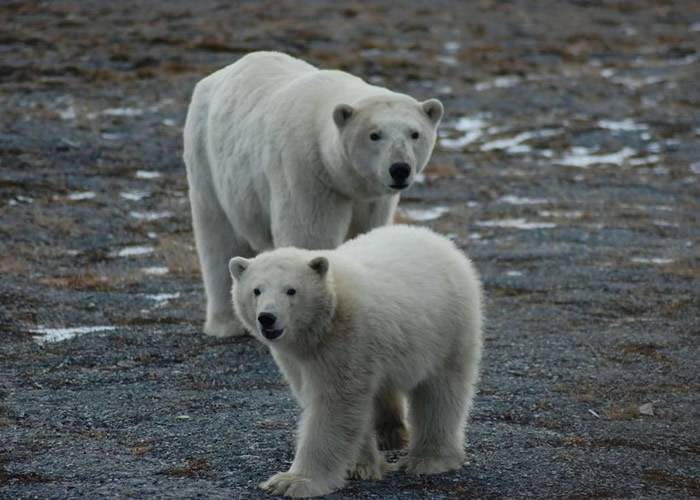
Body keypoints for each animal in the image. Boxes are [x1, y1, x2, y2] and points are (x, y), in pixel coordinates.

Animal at [182, 50, 442, 340]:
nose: (399, 169)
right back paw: (227, 324)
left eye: (415, 134)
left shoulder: (373, 198)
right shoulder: (308, 172)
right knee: (218, 237)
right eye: (374, 135)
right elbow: (310, 235)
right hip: (206, 159)